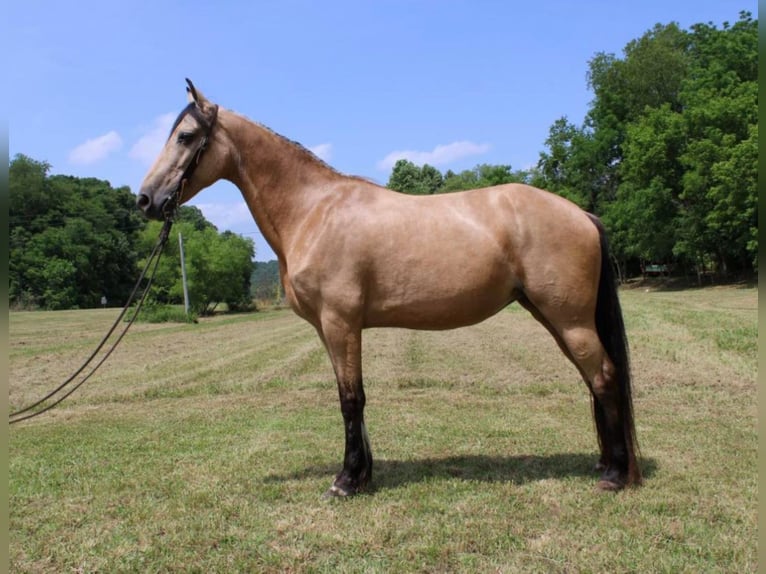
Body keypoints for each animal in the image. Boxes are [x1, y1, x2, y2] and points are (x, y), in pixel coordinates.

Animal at [136, 79, 640, 498]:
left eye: (185, 137)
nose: (145, 199)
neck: (313, 210)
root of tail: (582, 214)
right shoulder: (329, 328)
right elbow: (351, 396)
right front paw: (362, 474)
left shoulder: (340, 322)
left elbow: (350, 399)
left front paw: (345, 481)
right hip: (553, 316)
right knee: (594, 381)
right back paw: (604, 463)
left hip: (570, 320)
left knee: (605, 378)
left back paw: (616, 475)